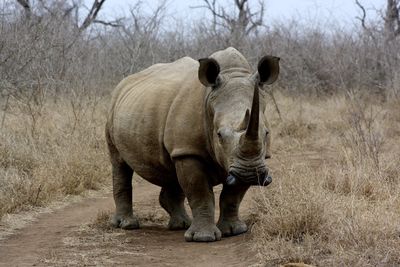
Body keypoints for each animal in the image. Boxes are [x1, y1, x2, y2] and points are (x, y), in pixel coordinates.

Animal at [106, 47, 282, 243]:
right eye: (219, 135)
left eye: (266, 133)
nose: (250, 173)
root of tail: (124, 83)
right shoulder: (189, 152)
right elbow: (200, 192)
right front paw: (203, 238)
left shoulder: (246, 162)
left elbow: (233, 195)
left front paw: (233, 231)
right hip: (113, 106)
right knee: (119, 163)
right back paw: (127, 225)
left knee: (170, 169)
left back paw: (180, 225)